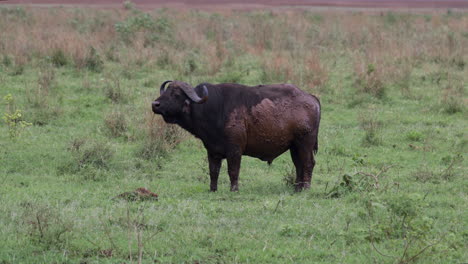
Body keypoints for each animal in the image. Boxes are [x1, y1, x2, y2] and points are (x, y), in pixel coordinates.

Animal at [152, 80, 320, 192]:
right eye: (165, 92)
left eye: (176, 94)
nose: (155, 104)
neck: (215, 108)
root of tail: (312, 98)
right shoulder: (212, 151)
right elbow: (213, 171)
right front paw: (213, 189)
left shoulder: (234, 150)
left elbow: (233, 170)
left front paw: (234, 189)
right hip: (294, 147)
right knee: (298, 165)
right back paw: (297, 189)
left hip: (305, 144)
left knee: (308, 164)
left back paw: (306, 188)